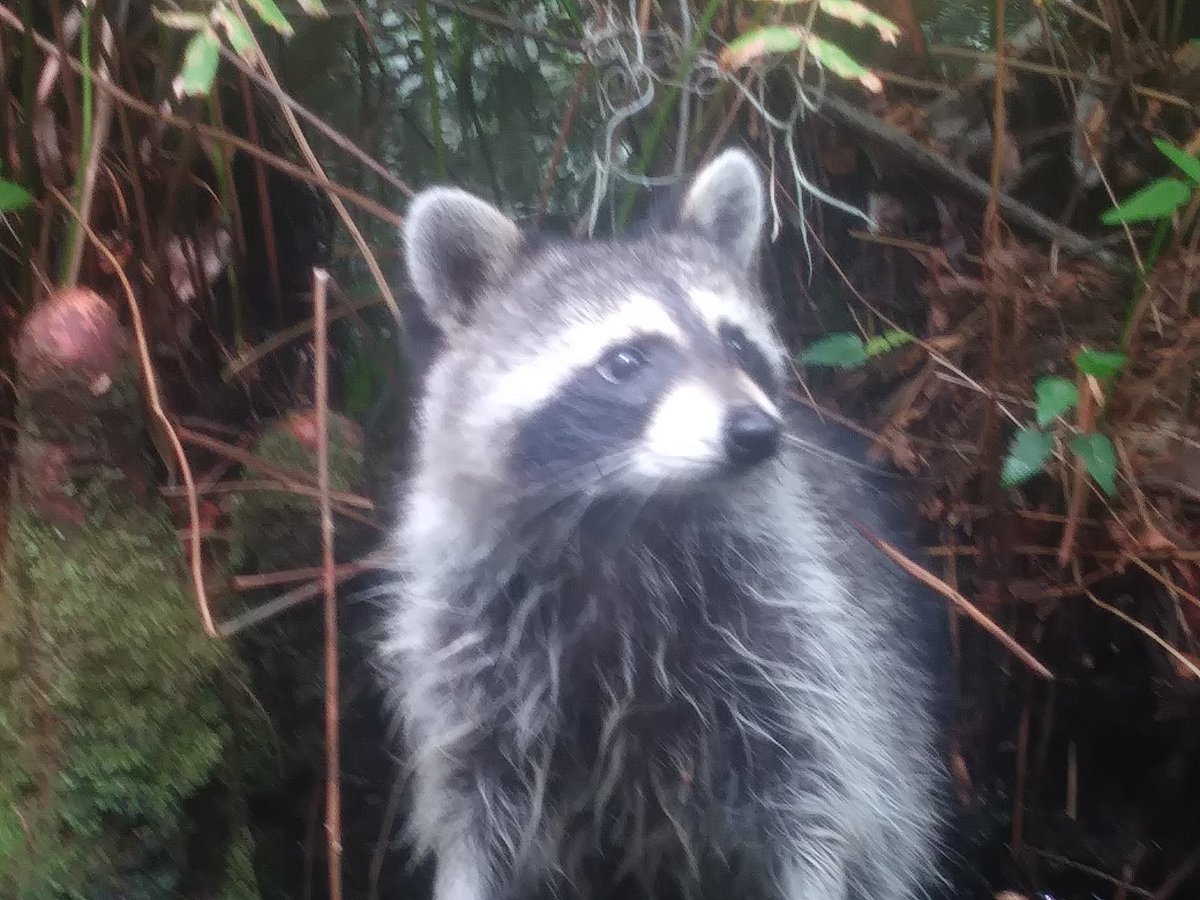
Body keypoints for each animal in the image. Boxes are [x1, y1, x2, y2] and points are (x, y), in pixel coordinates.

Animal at [382, 149, 946, 900]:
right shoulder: (466, 652)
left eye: (737, 345)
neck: (632, 514)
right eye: (626, 361)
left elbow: (816, 791)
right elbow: (473, 813)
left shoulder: (799, 631)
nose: (756, 433)